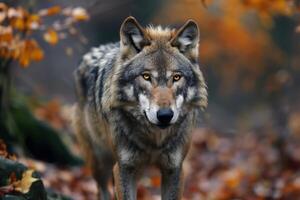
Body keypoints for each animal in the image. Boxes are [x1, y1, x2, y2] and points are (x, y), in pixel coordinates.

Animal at [74, 16, 207, 199]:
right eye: (146, 76)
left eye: (176, 77)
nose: (165, 115)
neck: (154, 141)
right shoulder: (124, 168)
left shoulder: (174, 169)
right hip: (99, 162)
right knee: (102, 190)